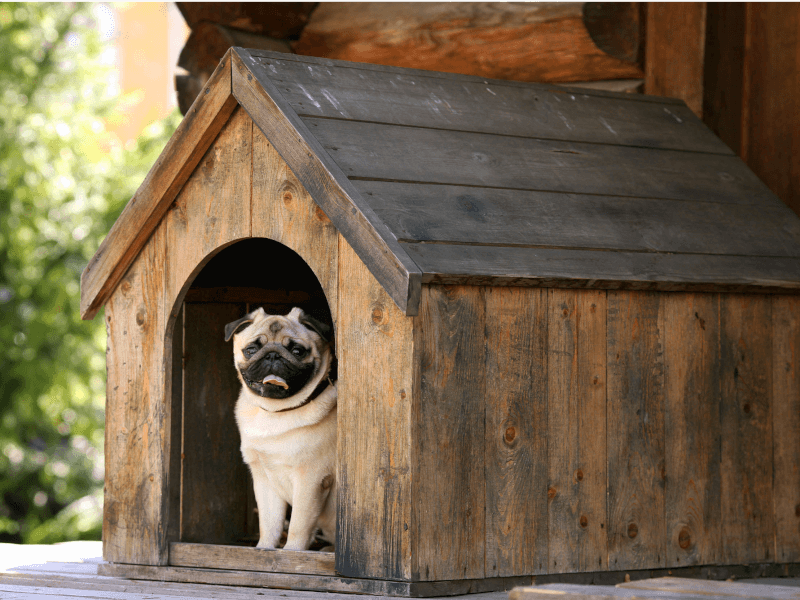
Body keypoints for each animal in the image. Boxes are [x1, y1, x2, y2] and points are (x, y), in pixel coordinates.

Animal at [225, 308, 338, 552]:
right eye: (251, 350)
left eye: (297, 351)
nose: (273, 355)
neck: (275, 412)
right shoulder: (264, 479)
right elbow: (269, 523)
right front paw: (264, 549)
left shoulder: (310, 480)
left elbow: (298, 525)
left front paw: (292, 553)